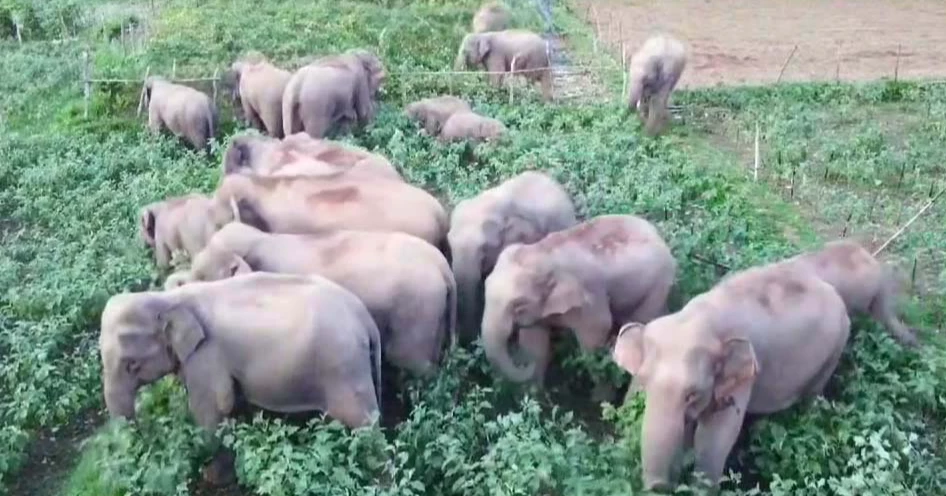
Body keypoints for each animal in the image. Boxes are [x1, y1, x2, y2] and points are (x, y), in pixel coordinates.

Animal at [100, 272, 382, 480]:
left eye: (131, 365)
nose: (145, 444)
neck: (169, 299)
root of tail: (366, 320)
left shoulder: (206, 355)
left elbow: (213, 409)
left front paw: (207, 466)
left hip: (343, 367)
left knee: (365, 424)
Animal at [481, 214, 677, 385]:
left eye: (518, 305)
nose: (524, 362)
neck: (541, 252)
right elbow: (534, 341)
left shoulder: (589, 296)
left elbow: (595, 333)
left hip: (656, 285)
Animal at [611, 262, 851, 491]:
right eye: (644, 383)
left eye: (692, 394)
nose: (659, 486)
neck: (697, 316)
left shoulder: (744, 378)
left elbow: (713, 438)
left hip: (835, 348)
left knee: (811, 398)